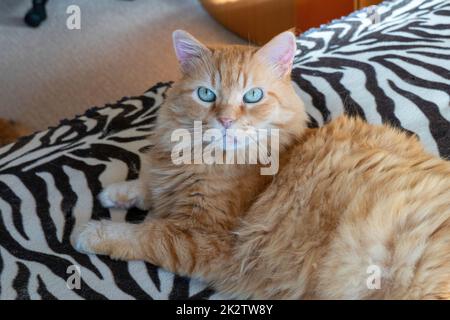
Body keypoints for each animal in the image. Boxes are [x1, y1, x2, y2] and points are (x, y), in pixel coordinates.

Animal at [72, 30, 448, 300]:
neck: (204, 158)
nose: (225, 121)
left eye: (252, 96)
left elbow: (140, 234)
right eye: (206, 95)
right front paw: (114, 193)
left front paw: (89, 231)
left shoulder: (200, 238)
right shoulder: (169, 184)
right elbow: (147, 185)